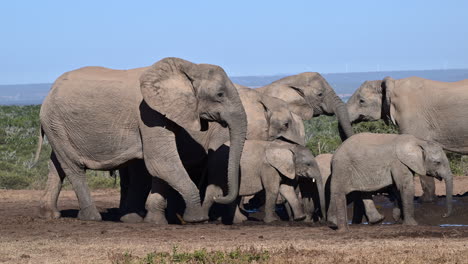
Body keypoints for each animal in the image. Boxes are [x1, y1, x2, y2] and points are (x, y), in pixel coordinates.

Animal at [36, 57, 249, 223]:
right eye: (219, 94)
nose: (220, 196)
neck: (188, 67)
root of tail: (49, 91)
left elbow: (157, 167)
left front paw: (153, 221)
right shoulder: (148, 113)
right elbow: (161, 162)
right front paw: (196, 219)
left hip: (56, 126)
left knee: (56, 165)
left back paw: (50, 215)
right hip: (56, 121)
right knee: (74, 167)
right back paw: (91, 217)